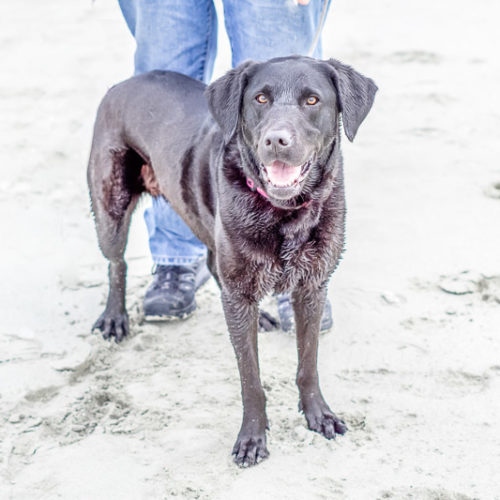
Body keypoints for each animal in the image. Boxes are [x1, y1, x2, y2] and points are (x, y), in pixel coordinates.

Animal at [87, 55, 377, 466]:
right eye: (260, 98)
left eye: (312, 100)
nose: (276, 140)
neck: (283, 212)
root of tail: (123, 84)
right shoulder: (239, 295)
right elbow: (250, 378)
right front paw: (253, 437)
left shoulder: (312, 287)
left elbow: (308, 364)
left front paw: (317, 414)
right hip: (110, 204)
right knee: (117, 262)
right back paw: (114, 319)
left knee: (211, 264)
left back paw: (266, 316)